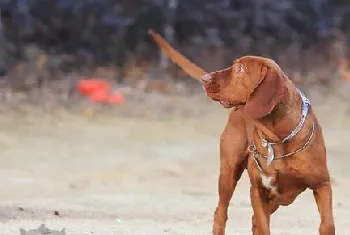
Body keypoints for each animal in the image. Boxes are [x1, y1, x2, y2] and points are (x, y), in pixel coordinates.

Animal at [149, 30, 334, 234]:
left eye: (240, 69)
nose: (206, 79)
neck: (277, 137)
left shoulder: (322, 184)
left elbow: (327, 224)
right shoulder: (258, 191)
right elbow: (263, 226)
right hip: (229, 173)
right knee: (221, 213)